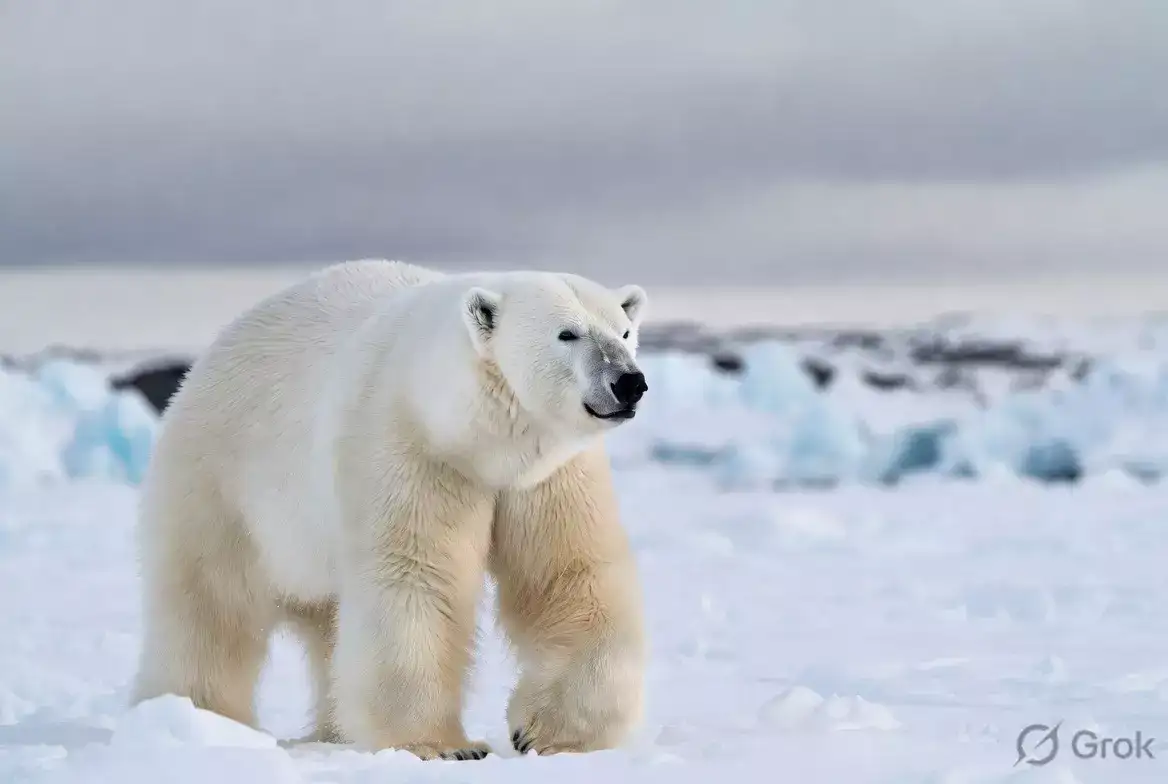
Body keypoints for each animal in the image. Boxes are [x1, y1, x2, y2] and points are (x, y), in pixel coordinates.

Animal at [129, 259, 649, 761]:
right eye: (567, 333)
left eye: (624, 331)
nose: (630, 382)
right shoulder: (407, 446)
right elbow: (415, 577)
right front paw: (442, 746)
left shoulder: (547, 474)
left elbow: (567, 574)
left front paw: (554, 735)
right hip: (220, 481)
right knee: (209, 604)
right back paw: (197, 715)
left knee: (323, 622)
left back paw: (333, 730)